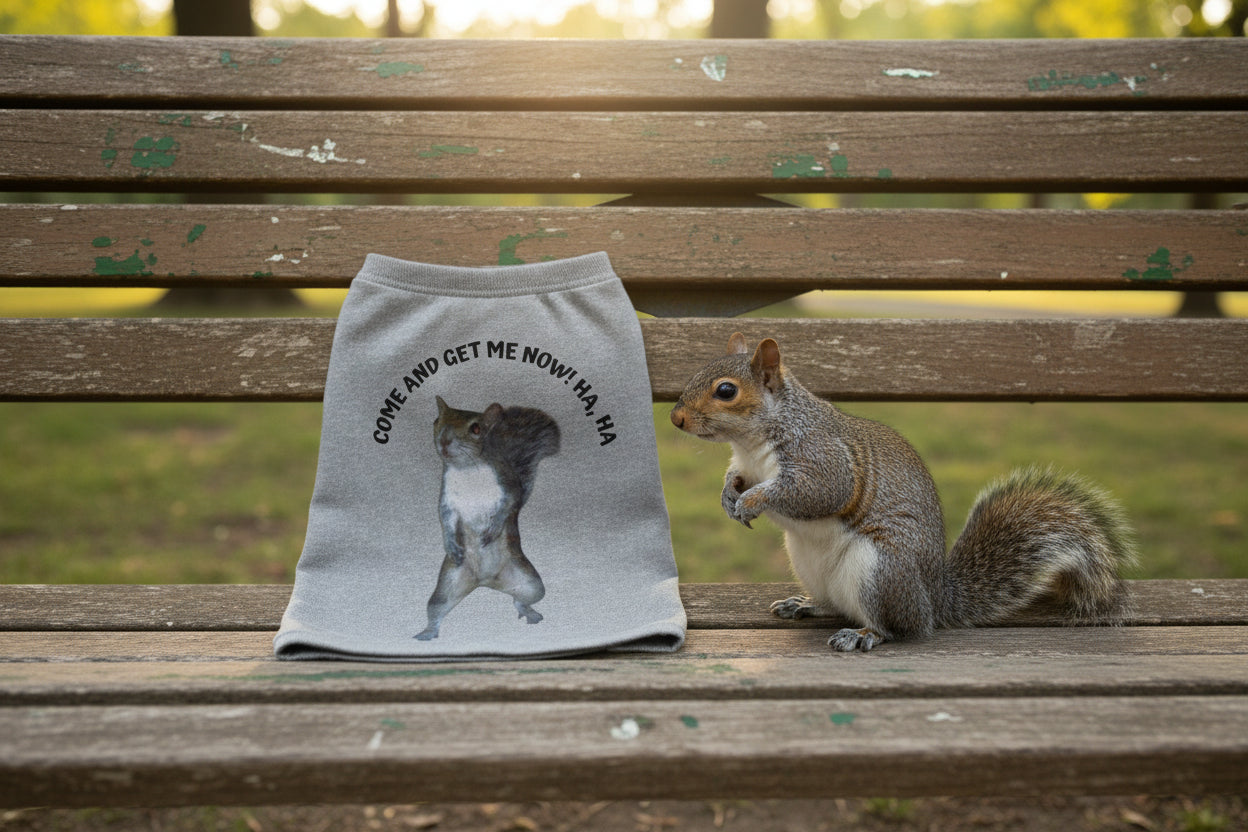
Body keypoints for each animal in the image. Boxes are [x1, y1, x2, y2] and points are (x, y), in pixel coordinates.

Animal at [416, 396, 560, 640]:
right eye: (436, 421)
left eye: (476, 429)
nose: (444, 441)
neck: (467, 470)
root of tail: (484, 582)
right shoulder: (447, 499)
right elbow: (445, 518)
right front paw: (450, 544)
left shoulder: (508, 486)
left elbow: (509, 504)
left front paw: (492, 530)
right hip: (447, 585)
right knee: (436, 608)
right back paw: (427, 632)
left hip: (530, 584)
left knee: (520, 600)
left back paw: (529, 612)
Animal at [670, 333, 1136, 652]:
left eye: (726, 390)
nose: (676, 419)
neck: (751, 442)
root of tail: (933, 601)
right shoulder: (746, 464)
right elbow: (736, 477)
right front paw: (729, 496)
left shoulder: (823, 458)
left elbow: (816, 492)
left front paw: (753, 501)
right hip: (809, 563)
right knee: (837, 604)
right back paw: (806, 605)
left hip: (881, 570)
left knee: (896, 627)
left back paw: (863, 634)